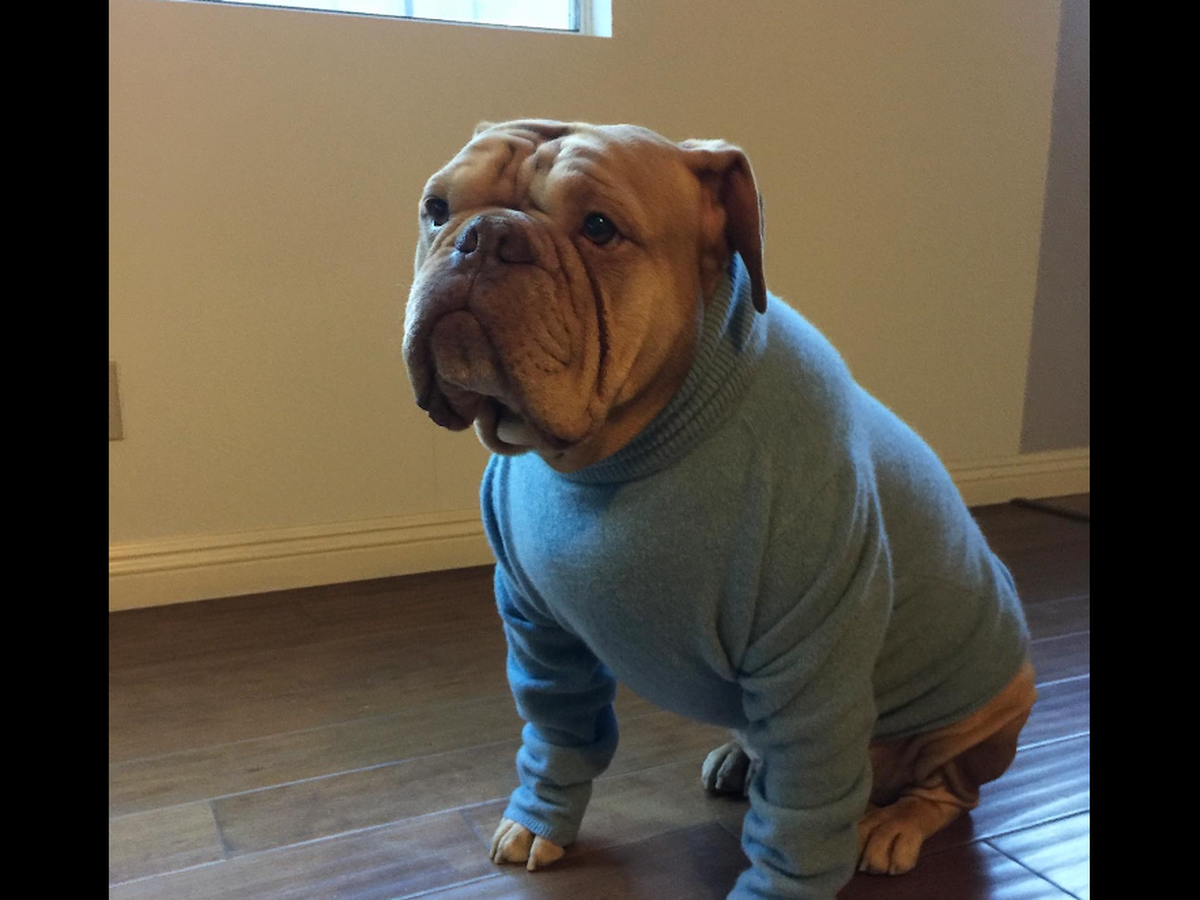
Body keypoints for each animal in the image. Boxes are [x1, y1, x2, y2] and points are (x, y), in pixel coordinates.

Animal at [402, 119, 1035, 900]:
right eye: (437, 209)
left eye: (600, 228)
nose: (485, 236)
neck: (619, 452)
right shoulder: (539, 633)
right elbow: (556, 734)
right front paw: (539, 820)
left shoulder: (811, 666)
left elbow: (797, 816)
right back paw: (740, 759)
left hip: (984, 710)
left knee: (947, 790)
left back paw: (892, 824)